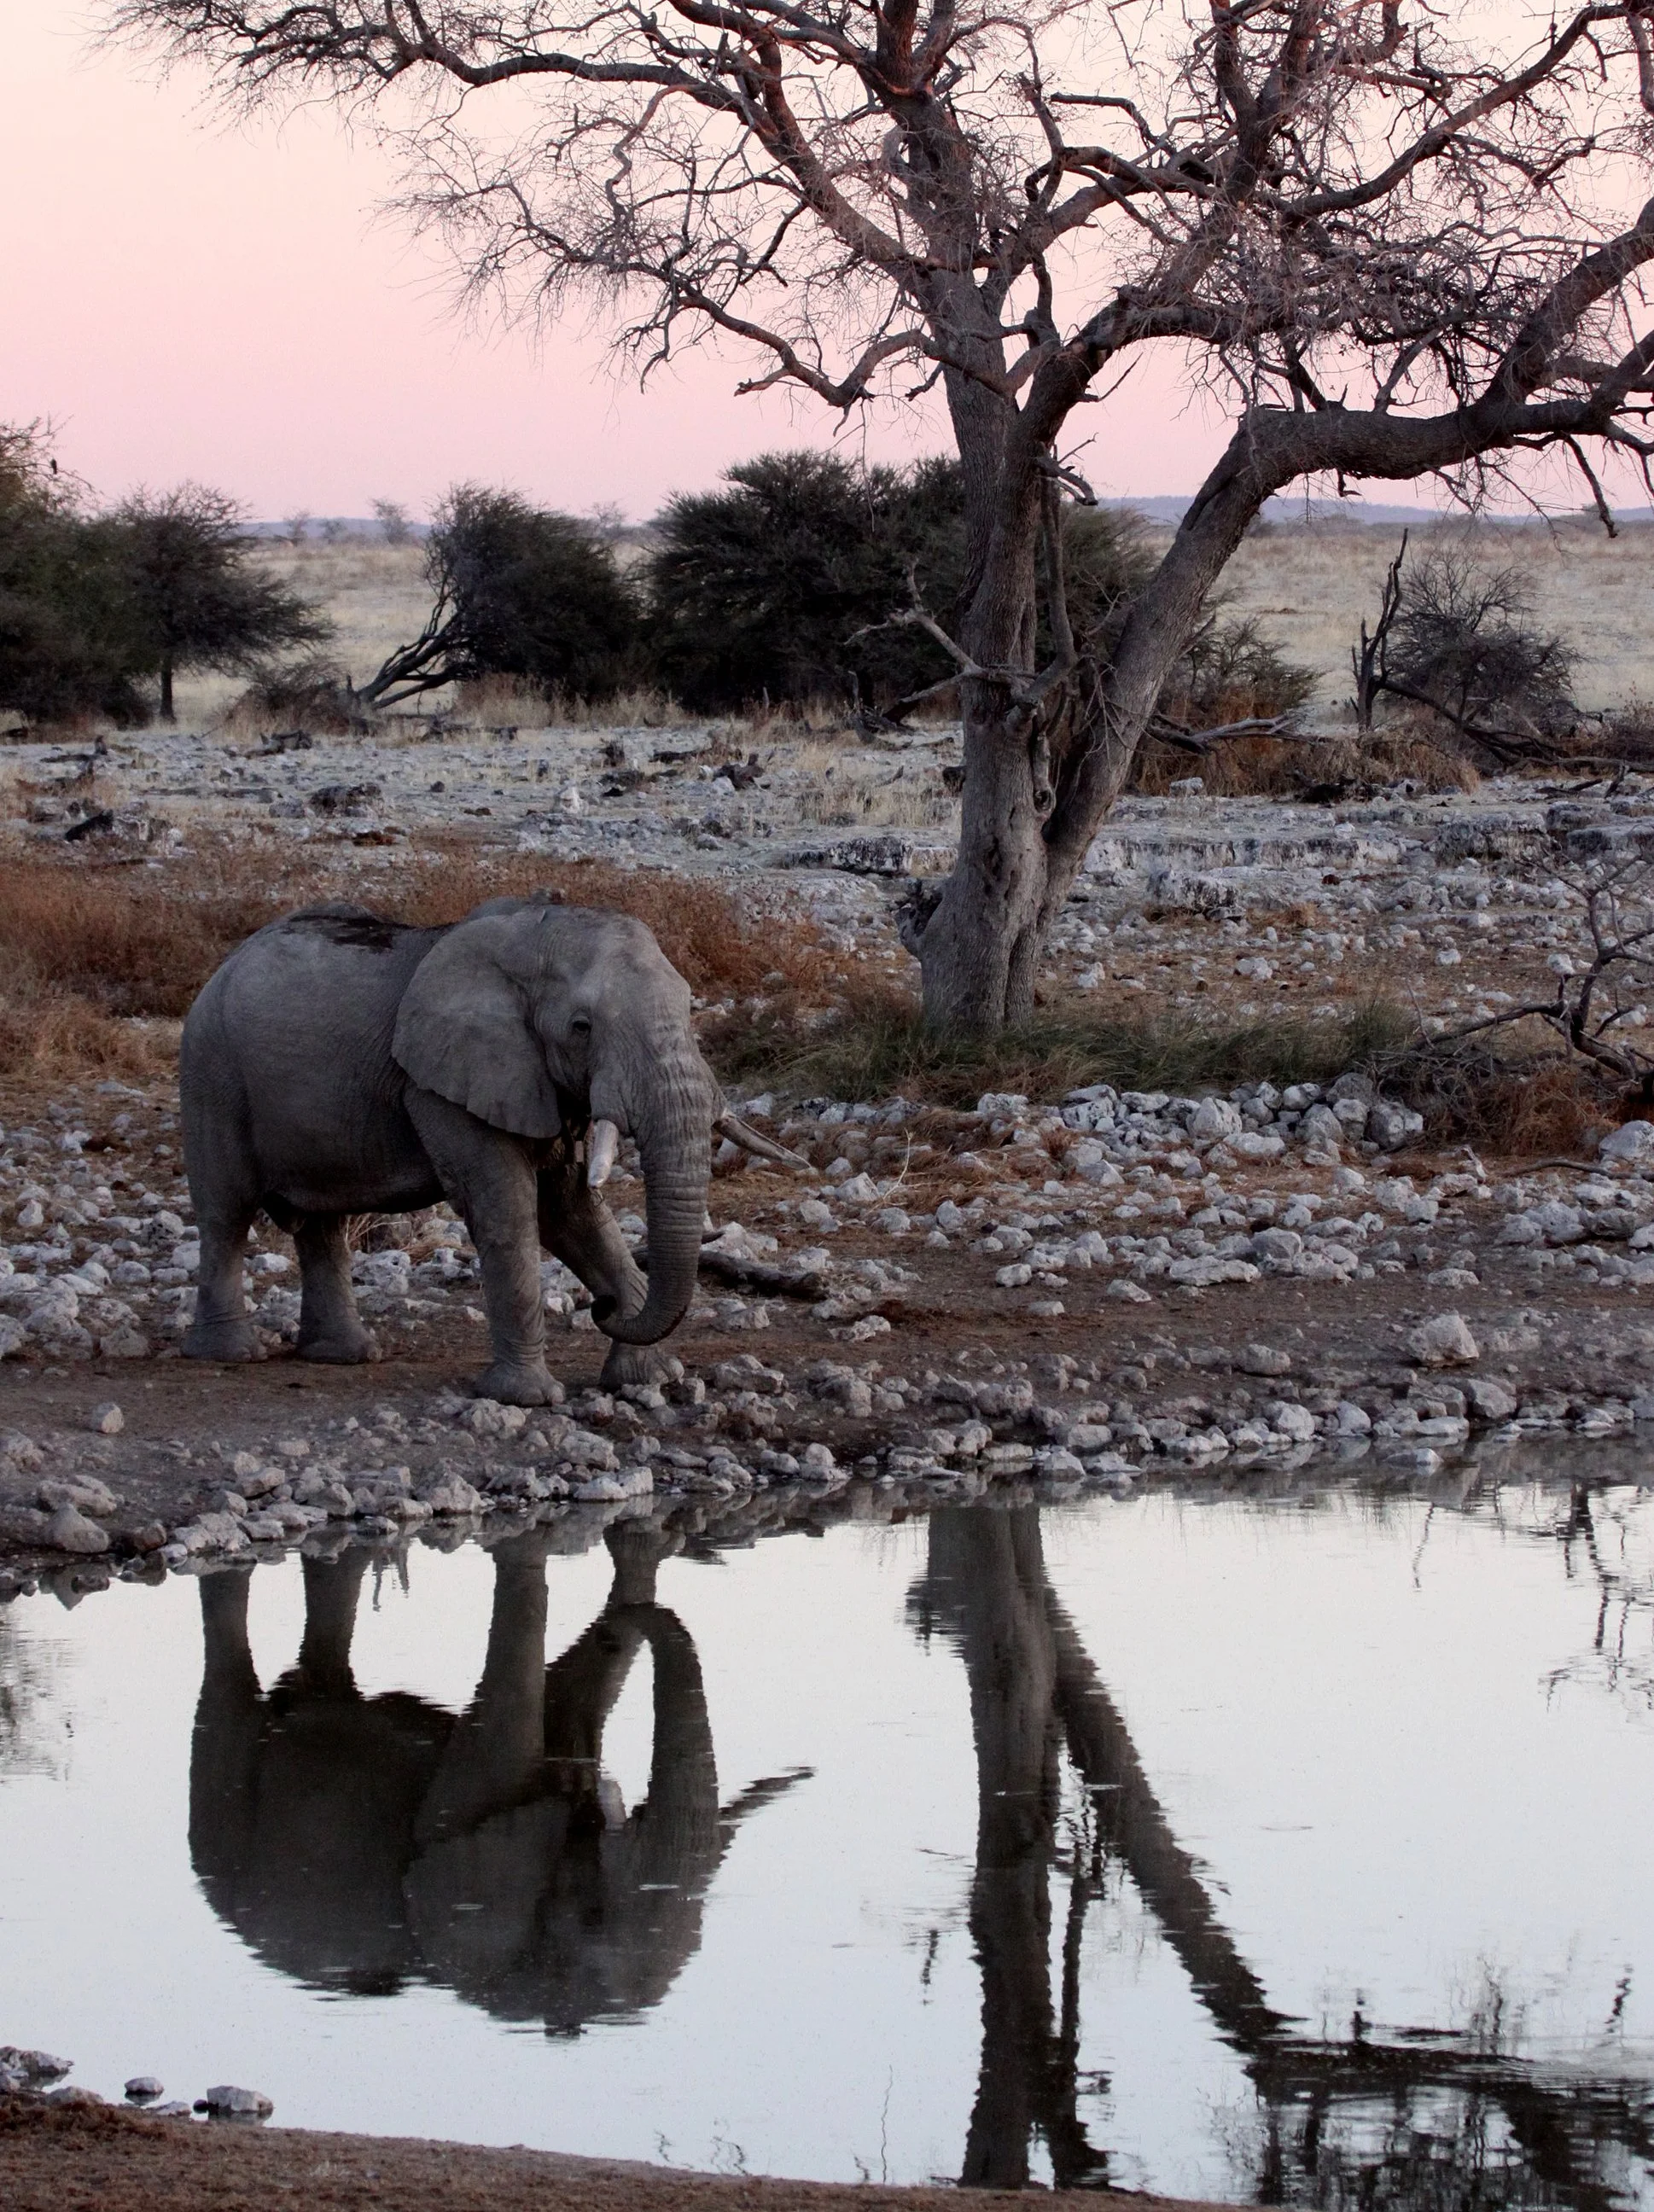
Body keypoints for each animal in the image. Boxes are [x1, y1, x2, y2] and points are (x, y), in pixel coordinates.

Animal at [178, 895, 788, 1403]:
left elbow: (570, 1212)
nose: (602, 1307)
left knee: (324, 1224)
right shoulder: (439, 1085)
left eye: (688, 1009)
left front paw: (650, 1379)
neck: (533, 934)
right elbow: (509, 1210)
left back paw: (345, 1356)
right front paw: (526, 1399)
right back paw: (232, 1354)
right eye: (582, 1027)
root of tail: (222, 967)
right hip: (211, 1072)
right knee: (226, 1213)